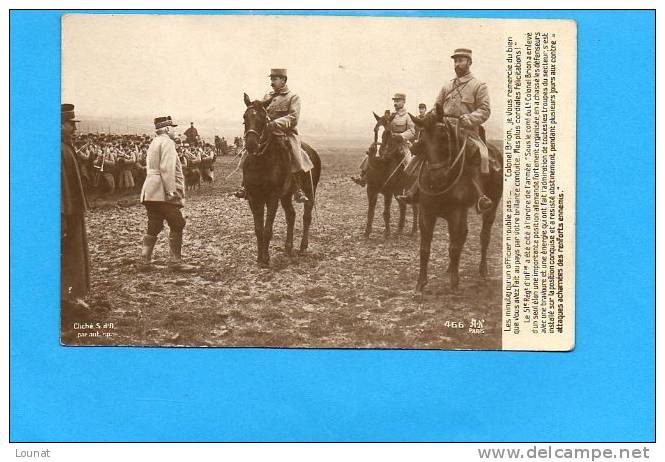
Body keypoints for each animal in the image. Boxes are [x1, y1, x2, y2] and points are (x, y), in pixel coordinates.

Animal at [241, 94, 322, 268]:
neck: (261, 163)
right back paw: (288, 247)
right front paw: (259, 258)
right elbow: (258, 229)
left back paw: (302, 247)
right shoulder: (253, 198)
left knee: (306, 216)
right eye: (245, 117)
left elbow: (267, 229)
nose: (251, 145)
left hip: (309, 191)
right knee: (291, 215)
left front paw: (265, 258)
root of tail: (312, 151)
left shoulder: (272, 198)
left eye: (263, 119)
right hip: (286, 195)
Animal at [408, 104, 500, 292]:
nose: (437, 177)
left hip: (491, 208)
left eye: (443, 136)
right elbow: (425, 249)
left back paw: (483, 271)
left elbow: (453, 247)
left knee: (484, 237)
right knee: (463, 236)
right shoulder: (426, 213)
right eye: (421, 139)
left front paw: (454, 283)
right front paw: (420, 283)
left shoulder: (456, 213)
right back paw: (451, 268)